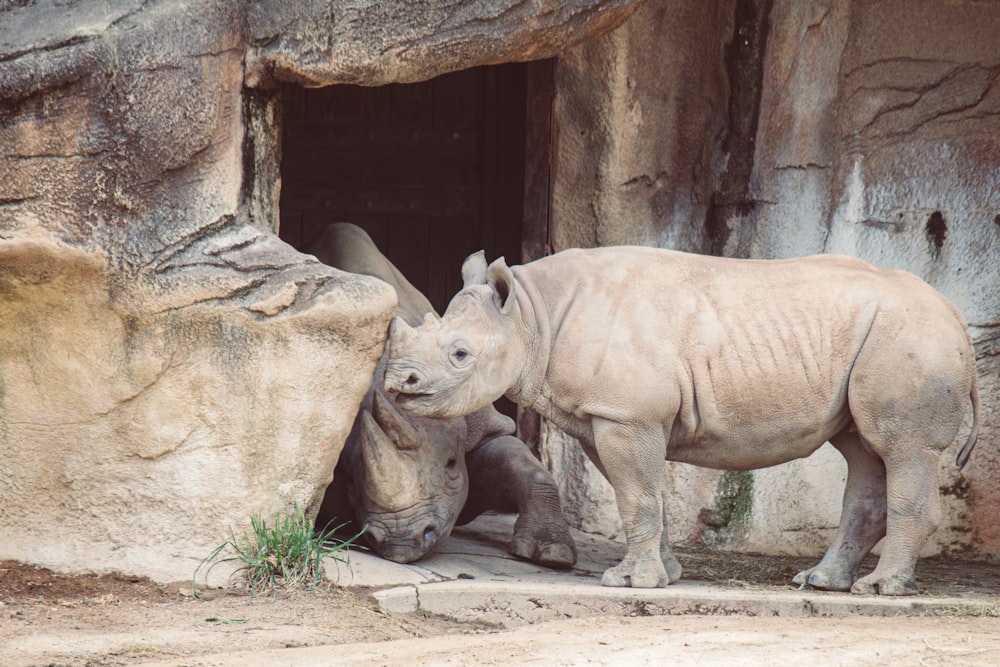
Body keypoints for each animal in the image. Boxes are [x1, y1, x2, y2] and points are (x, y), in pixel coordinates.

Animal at [308, 224, 576, 568]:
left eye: (451, 464)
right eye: (351, 480)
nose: (402, 543)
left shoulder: (478, 417)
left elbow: (523, 465)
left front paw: (552, 554)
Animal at [386, 245, 980, 596]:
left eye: (460, 354)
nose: (397, 383)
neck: (533, 316)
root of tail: (956, 316)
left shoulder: (628, 415)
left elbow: (638, 495)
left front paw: (629, 583)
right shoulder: (609, 415)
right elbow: (640, 496)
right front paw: (664, 575)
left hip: (909, 339)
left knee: (902, 450)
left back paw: (880, 590)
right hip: (885, 341)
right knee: (864, 449)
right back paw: (821, 582)